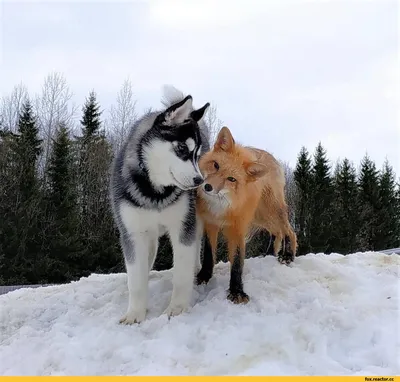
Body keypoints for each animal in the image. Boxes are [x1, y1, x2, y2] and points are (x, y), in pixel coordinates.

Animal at [108, 88, 209, 324]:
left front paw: (177, 309)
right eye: (181, 148)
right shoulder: (133, 233)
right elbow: (136, 279)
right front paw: (135, 314)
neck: (156, 193)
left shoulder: (183, 226)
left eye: (197, 155)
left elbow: (181, 274)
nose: (199, 181)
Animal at [196, 127, 296, 302]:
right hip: (261, 217)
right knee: (276, 232)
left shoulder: (238, 227)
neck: (220, 207)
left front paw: (236, 291)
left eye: (231, 179)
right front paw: (204, 276)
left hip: (272, 210)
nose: (207, 187)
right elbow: (209, 255)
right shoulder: (210, 223)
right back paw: (268, 255)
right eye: (215, 165)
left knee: (289, 231)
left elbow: (237, 262)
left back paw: (288, 255)